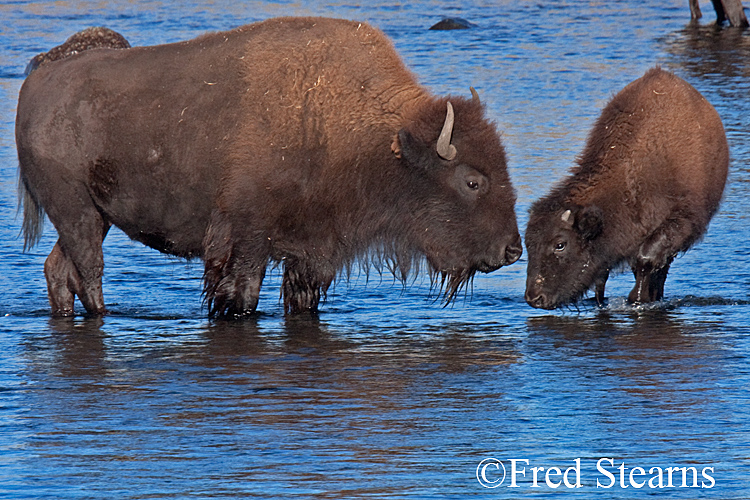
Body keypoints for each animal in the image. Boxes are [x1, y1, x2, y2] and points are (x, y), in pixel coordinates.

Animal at [16, 18, 524, 320]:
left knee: (58, 268)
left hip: (95, 216)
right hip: (77, 212)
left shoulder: (312, 253)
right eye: (472, 181)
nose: (512, 250)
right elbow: (239, 297)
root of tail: (40, 76)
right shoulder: (244, 240)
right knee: (88, 271)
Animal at [524, 66, 732, 308]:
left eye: (560, 244)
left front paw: (637, 299)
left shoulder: (682, 220)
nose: (534, 298)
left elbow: (646, 259)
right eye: (529, 244)